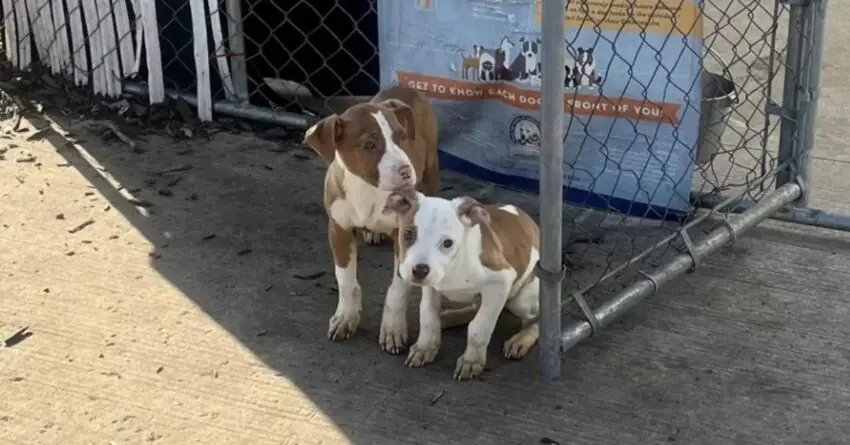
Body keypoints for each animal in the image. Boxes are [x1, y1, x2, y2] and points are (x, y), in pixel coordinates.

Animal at [304, 84, 440, 346]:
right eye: (369, 145)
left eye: (401, 137)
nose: (406, 171)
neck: (367, 189)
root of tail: (404, 87)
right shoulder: (338, 229)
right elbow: (345, 280)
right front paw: (345, 317)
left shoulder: (402, 236)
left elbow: (398, 288)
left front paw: (393, 328)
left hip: (431, 169)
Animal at [382, 187, 540, 378]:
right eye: (408, 233)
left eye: (447, 243)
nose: (420, 270)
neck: (453, 266)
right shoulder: (432, 287)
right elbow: (428, 316)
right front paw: (425, 348)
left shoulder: (500, 281)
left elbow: (480, 326)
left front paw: (471, 361)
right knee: (472, 309)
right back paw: (448, 318)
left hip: (521, 299)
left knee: (536, 320)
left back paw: (521, 339)